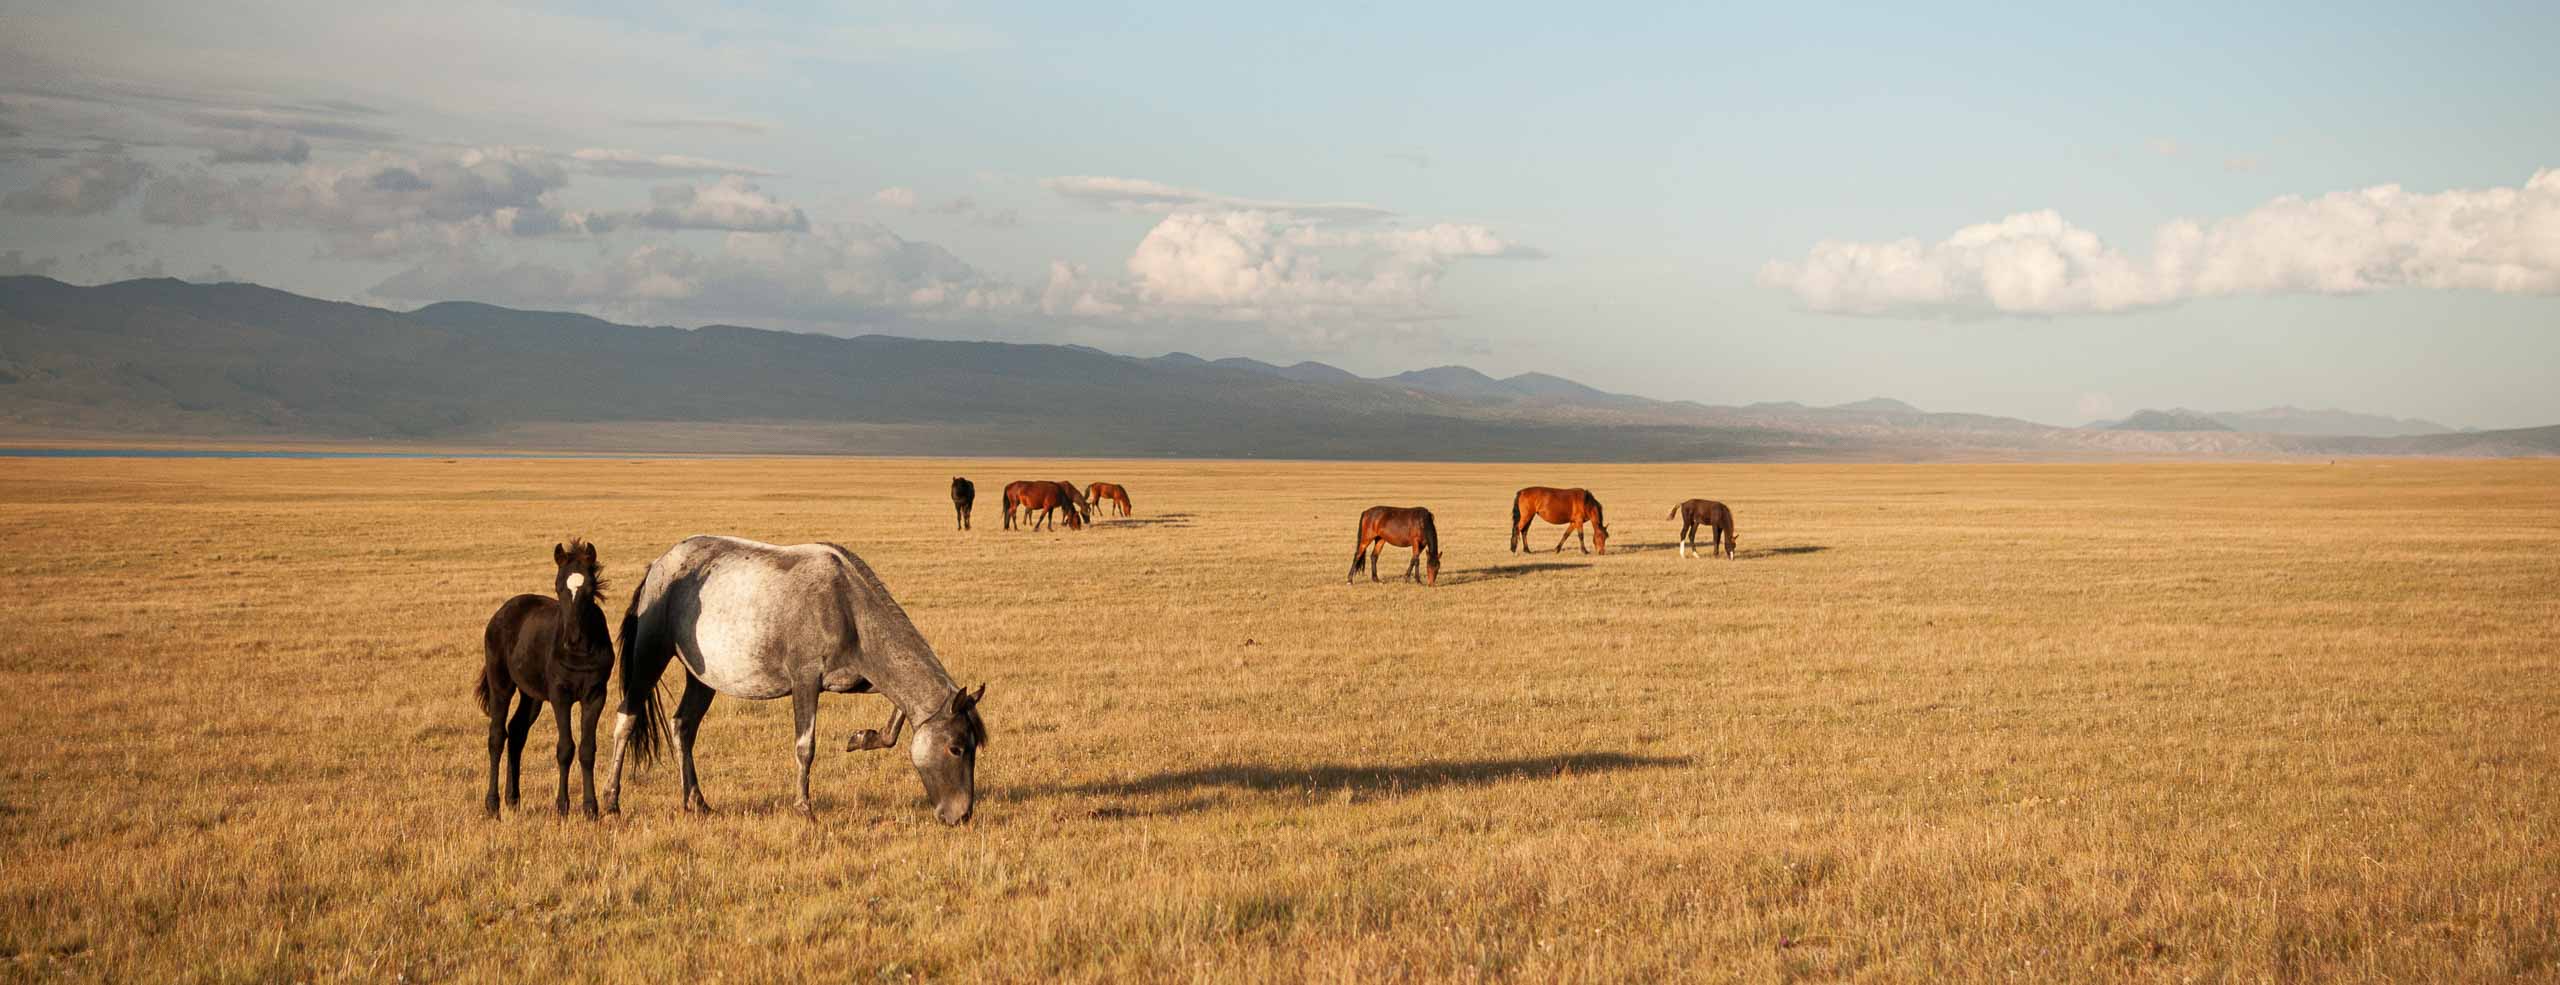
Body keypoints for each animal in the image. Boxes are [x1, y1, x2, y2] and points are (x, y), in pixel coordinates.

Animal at [473, 537, 611, 813]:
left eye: (590, 589)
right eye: (557, 587)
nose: (572, 639)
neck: (581, 652)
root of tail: (502, 611)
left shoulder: (596, 695)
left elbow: (587, 749)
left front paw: (591, 808)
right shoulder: (560, 696)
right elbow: (565, 748)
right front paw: (562, 807)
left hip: (532, 695)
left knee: (516, 732)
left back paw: (513, 799)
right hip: (500, 684)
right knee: (497, 736)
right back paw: (493, 804)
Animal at [604, 537, 993, 818]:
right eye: (956, 748)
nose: (962, 815)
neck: (846, 607)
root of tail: (659, 565)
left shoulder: (866, 680)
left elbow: (896, 721)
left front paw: (862, 738)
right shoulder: (805, 681)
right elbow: (805, 747)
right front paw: (804, 807)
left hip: (702, 677)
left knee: (683, 726)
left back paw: (695, 801)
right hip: (650, 656)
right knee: (627, 719)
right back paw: (610, 801)